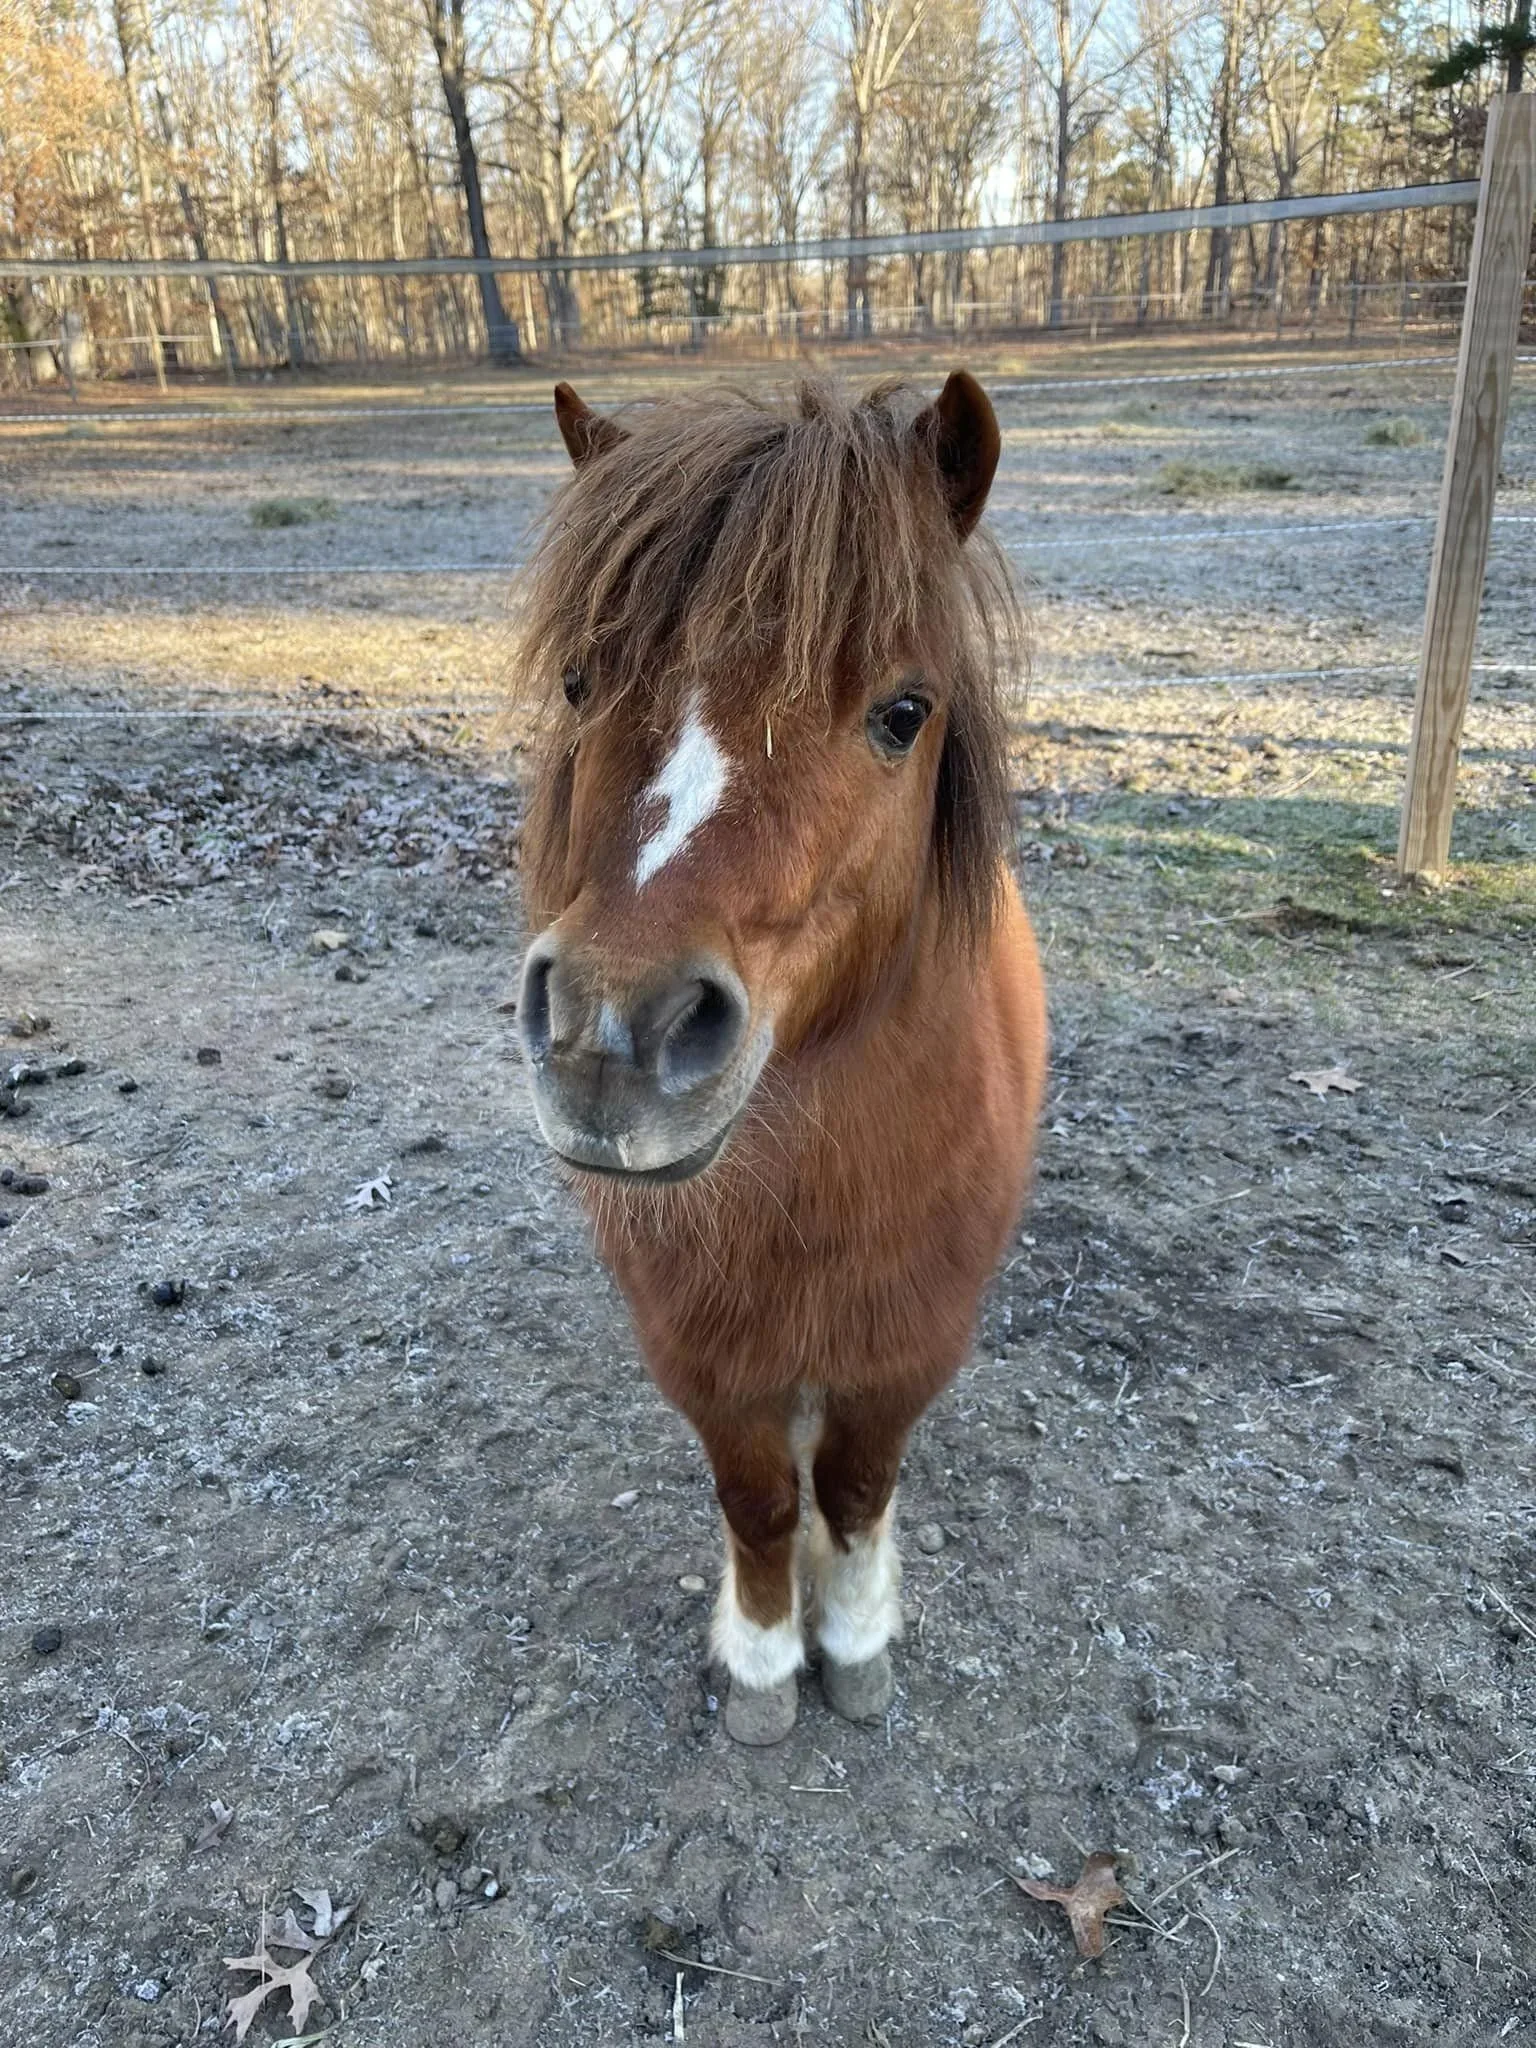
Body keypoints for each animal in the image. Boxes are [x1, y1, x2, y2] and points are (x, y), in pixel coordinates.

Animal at [514, 370, 1046, 1744]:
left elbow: (854, 1487)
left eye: (904, 712)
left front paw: (853, 1644)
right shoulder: (706, 1357)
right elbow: (758, 1497)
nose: (612, 1034)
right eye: (582, 681)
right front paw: (762, 1659)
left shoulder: (909, 1347)